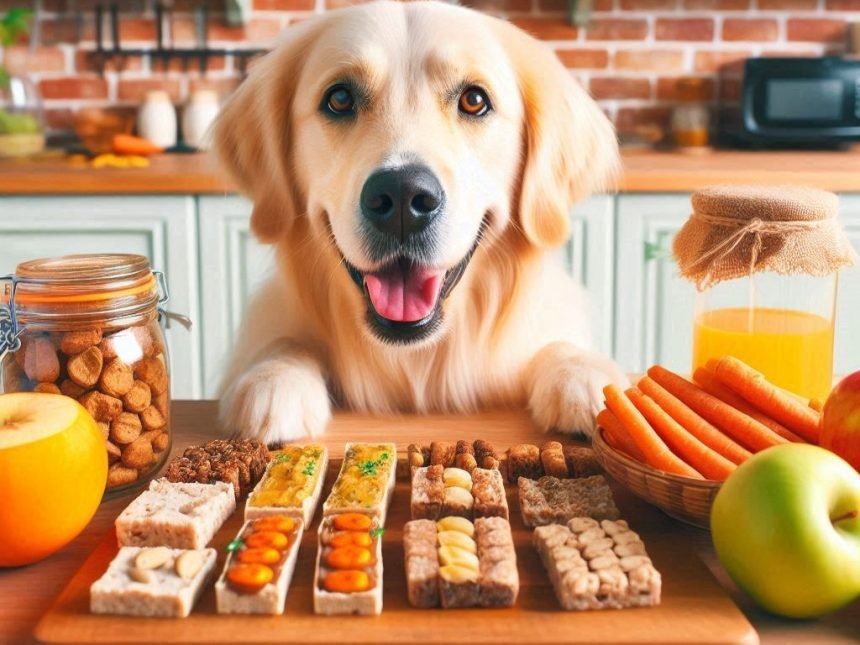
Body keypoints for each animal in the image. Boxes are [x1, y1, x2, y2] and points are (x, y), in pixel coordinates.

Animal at [212, 0, 628, 442]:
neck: (414, 359)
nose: (402, 199)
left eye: (474, 100)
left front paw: (581, 372)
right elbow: (286, 341)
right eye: (339, 98)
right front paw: (274, 378)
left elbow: (557, 344)